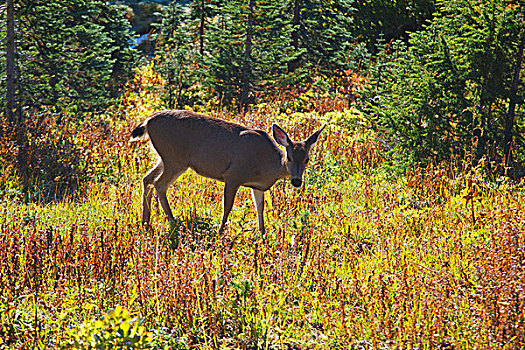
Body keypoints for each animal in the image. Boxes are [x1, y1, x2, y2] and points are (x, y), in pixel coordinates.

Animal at [131, 109, 324, 235]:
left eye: (307, 159)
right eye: (289, 157)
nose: (297, 181)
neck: (266, 165)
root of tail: (148, 121)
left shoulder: (258, 187)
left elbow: (259, 208)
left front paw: (262, 235)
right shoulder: (233, 175)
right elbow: (228, 206)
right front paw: (220, 232)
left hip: (165, 157)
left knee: (147, 178)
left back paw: (145, 222)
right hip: (175, 158)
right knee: (159, 184)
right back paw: (172, 221)